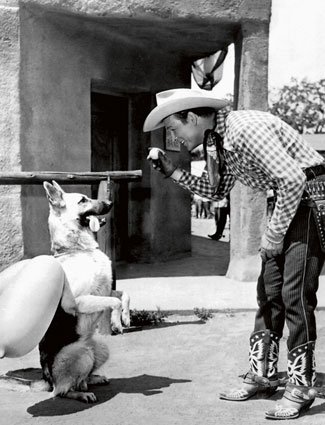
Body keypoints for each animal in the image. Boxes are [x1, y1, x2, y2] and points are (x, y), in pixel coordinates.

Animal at [40, 181, 130, 400]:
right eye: (83, 200)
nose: (110, 202)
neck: (79, 249)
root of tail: (47, 381)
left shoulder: (105, 290)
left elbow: (124, 295)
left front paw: (125, 317)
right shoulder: (79, 301)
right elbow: (115, 301)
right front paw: (116, 322)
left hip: (101, 348)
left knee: (82, 379)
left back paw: (93, 380)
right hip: (81, 354)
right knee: (62, 390)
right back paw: (80, 394)